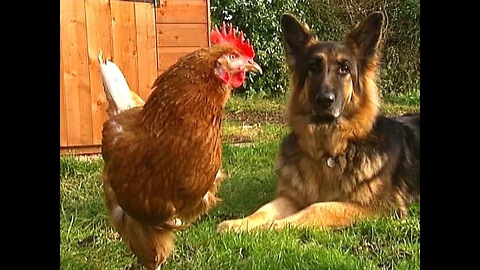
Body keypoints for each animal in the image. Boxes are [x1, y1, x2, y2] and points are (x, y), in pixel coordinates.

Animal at [218, 12, 420, 232]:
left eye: (344, 69)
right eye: (314, 67)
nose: (325, 100)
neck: (329, 152)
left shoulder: (378, 207)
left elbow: (318, 207)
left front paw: (273, 226)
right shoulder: (291, 197)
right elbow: (264, 210)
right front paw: (239, 223)